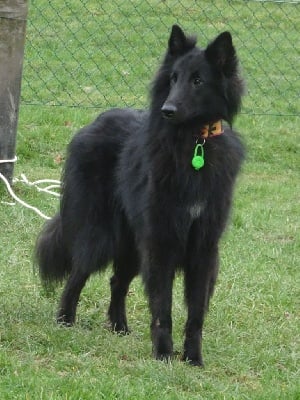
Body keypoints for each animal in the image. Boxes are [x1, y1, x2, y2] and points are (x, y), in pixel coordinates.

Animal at [36, 25, 245, 366]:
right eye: (173, 78)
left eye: (198, 80)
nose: (167, 110)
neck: (194, 145)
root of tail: (93, 123)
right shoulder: (161, 242)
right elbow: (162, 307)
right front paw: (163, 355)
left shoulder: (202, 247)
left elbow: (196, 313)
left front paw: (193, 359)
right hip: (102, 235)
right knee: (77, 273)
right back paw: (65, 320)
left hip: (132, 245)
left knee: (116, 282)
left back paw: (118, 326)